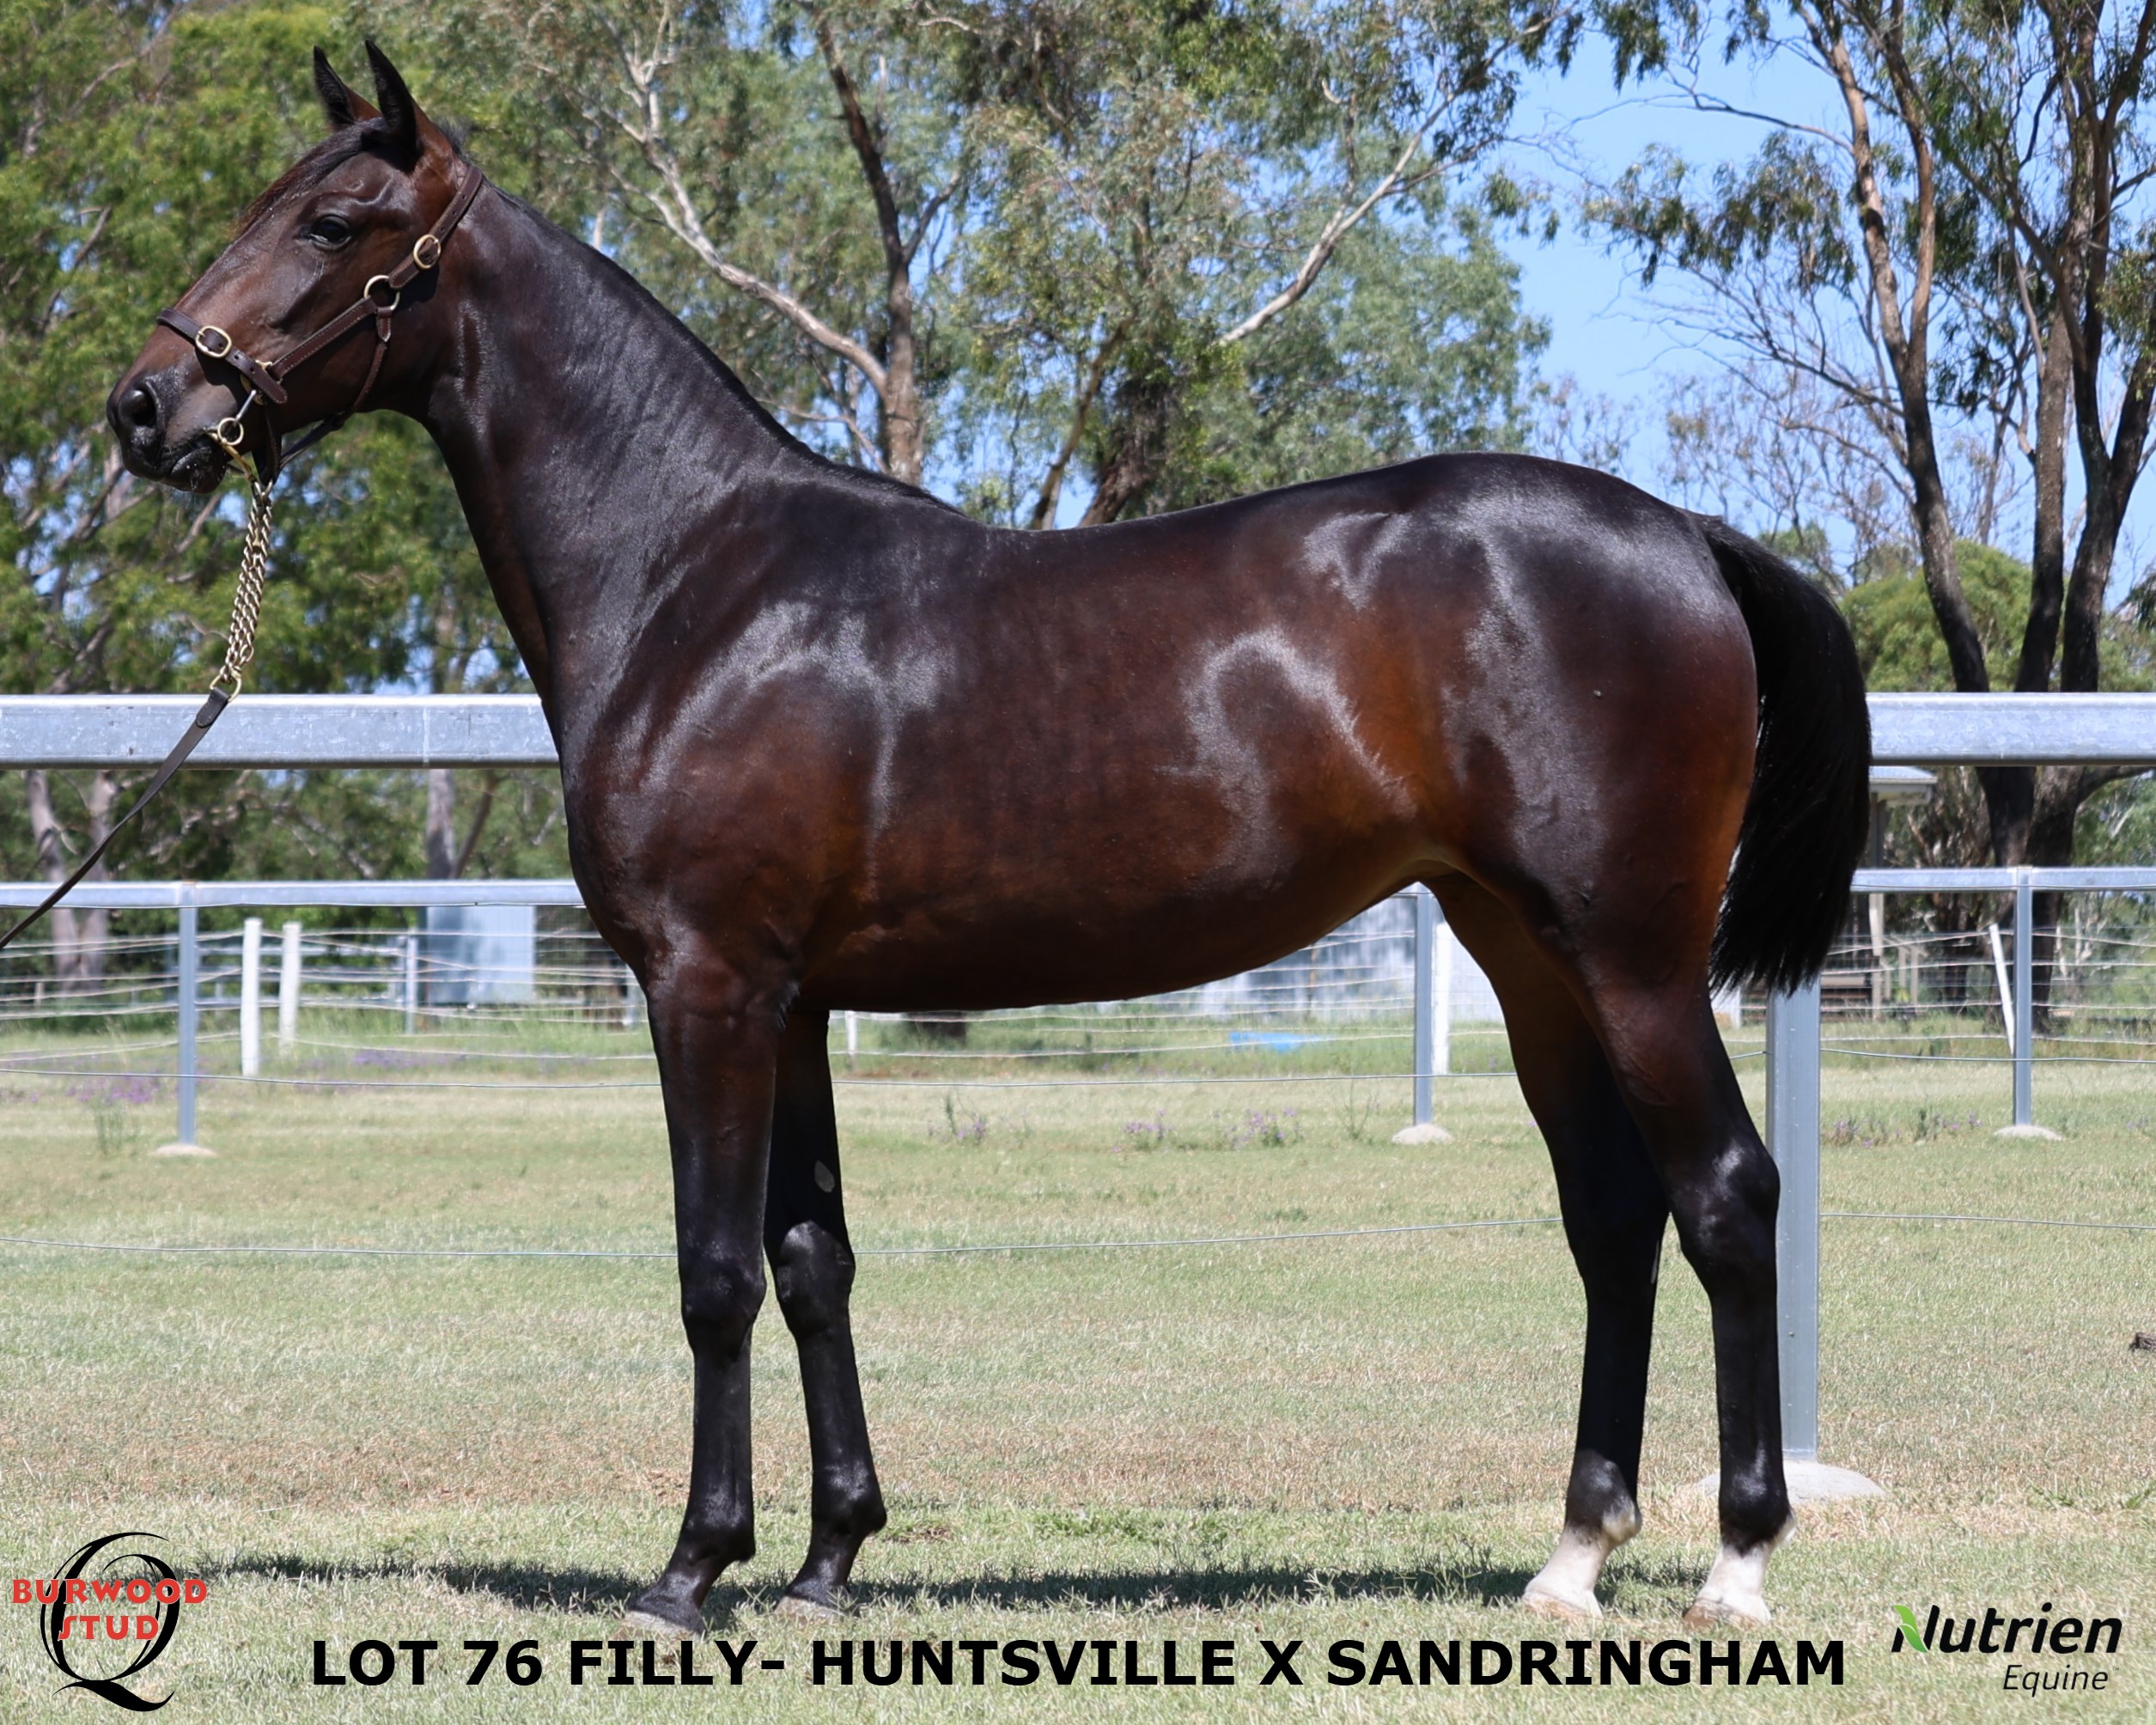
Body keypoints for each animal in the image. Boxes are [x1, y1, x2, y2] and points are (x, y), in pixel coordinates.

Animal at [109, 43, 1870, 1636]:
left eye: (335, 222)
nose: (146, 407)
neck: (693, 582)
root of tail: (1687, 535)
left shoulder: (706, 986)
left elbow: (713, 1271)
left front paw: (691, 1571)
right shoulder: (791, 1001)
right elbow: (811, 1258)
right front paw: (826, 1560)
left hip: (1630, 957)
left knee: (1724, 1198)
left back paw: (1736, 1564)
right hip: (1524, 955)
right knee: (1613, 1218)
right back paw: (1570, 1559)